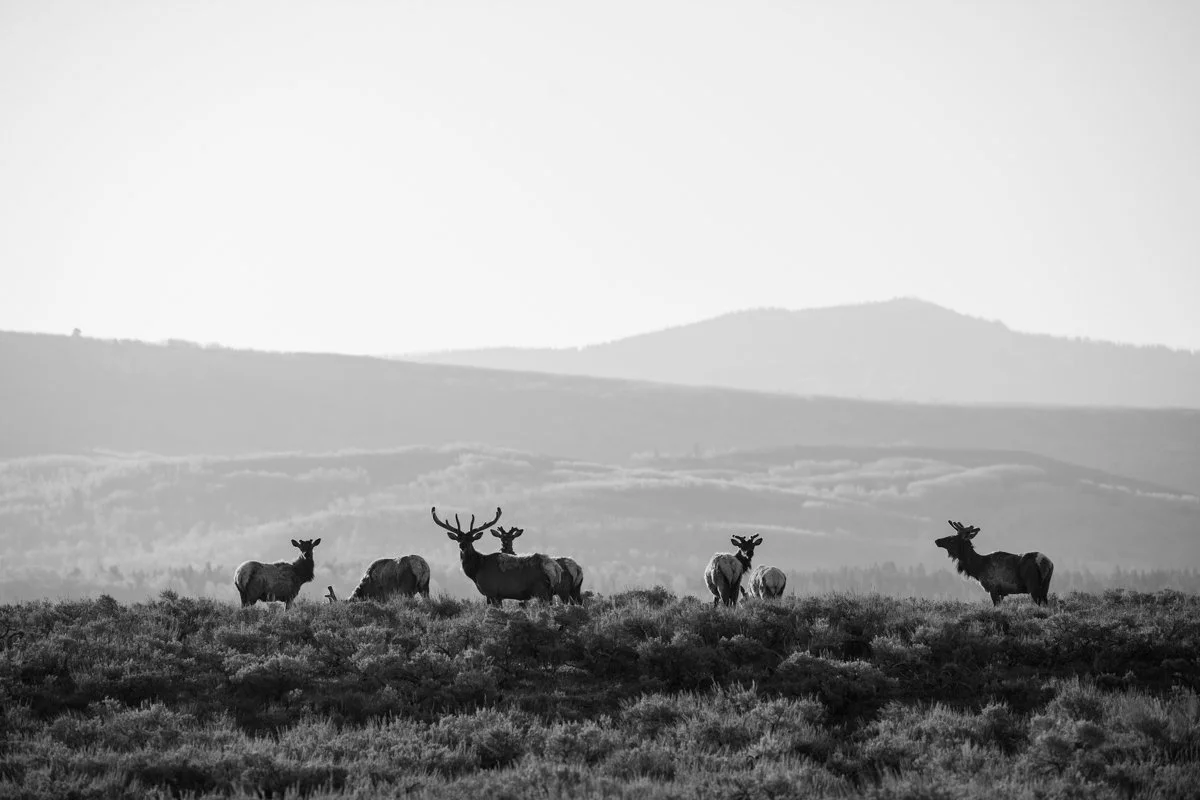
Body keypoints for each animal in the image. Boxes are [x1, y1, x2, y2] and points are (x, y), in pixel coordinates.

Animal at [431, 507, 562, 606]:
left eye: (471, 539)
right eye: (458, 538)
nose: (462, 545)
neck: (476, 570)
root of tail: (555, 569)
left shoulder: (492, 591)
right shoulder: (497, 595)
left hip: (541, 591)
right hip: (548, 593)